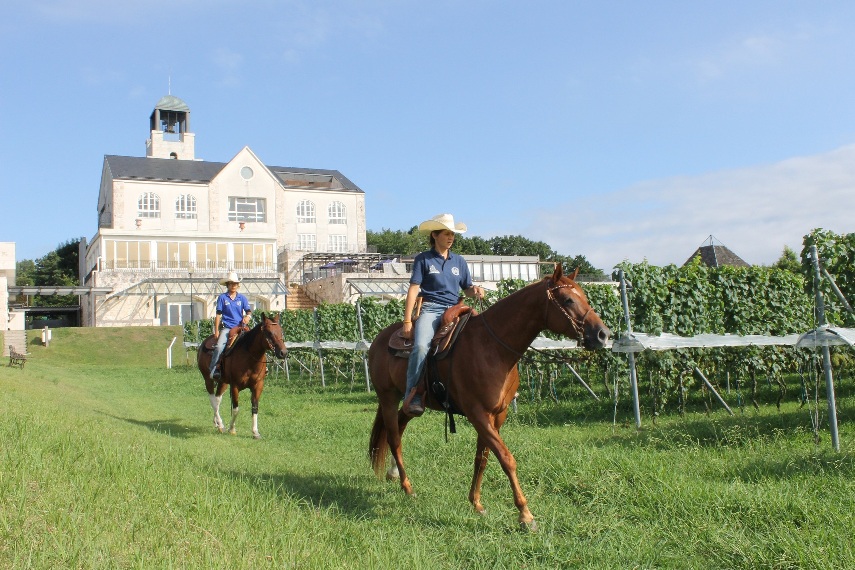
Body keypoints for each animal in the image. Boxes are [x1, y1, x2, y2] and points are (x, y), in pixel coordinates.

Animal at [368, 266, 608, 528]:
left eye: (584, 296)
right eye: (568, 300)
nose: (602, 334)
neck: (493, 348)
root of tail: (380, 338)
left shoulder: (497, 415)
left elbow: (482, 458)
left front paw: (476, 503)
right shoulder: (478, 415)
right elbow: (506, 458)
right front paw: (525, 515)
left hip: (413, 403)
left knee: (400, 426)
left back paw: (394, 474)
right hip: (388, 397)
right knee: (393, 437)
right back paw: (407, 486)